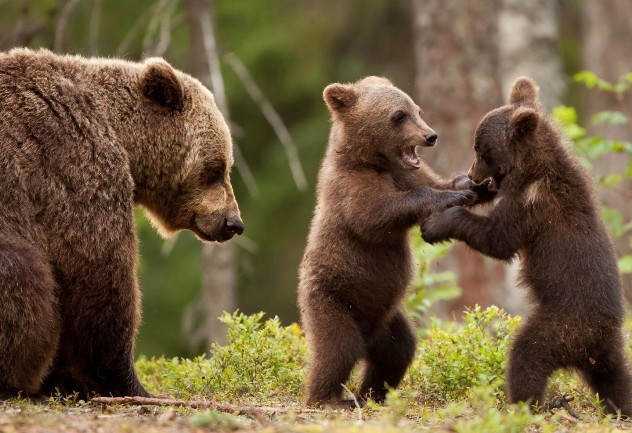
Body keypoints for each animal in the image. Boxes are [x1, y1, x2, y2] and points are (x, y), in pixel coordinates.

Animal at [0, 48, 243, 398]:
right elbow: (100, 272)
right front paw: (127, 382)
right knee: (25, 273)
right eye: (216, 168)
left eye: (226, 166)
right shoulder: (73, 162)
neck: (121, 135)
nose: (233, 222)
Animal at [296, 77, 478, 404]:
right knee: (338, 348)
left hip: (387, 318)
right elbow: (377, 215)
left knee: (398, 350)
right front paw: (450, 196)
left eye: (417, 109)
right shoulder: (349, 188)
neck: (373, 161)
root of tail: (368, 333)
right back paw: (327, 398)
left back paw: (371, 394)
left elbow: (432, 182)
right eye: (398, 115)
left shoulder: (407, 173)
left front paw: (466, 183)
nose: (431, 136)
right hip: (331, 299)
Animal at [420, 76, 632, 414]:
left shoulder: (533, 206)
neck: (531, 169)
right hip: (604, 353)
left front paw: (436, 224)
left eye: (481, 149)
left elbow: (498, 238)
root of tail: (597, 338)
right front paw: (462, 190)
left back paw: (528, 404)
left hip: (562, 326)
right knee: (617, 380)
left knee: (526, 354)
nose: (472, 173)